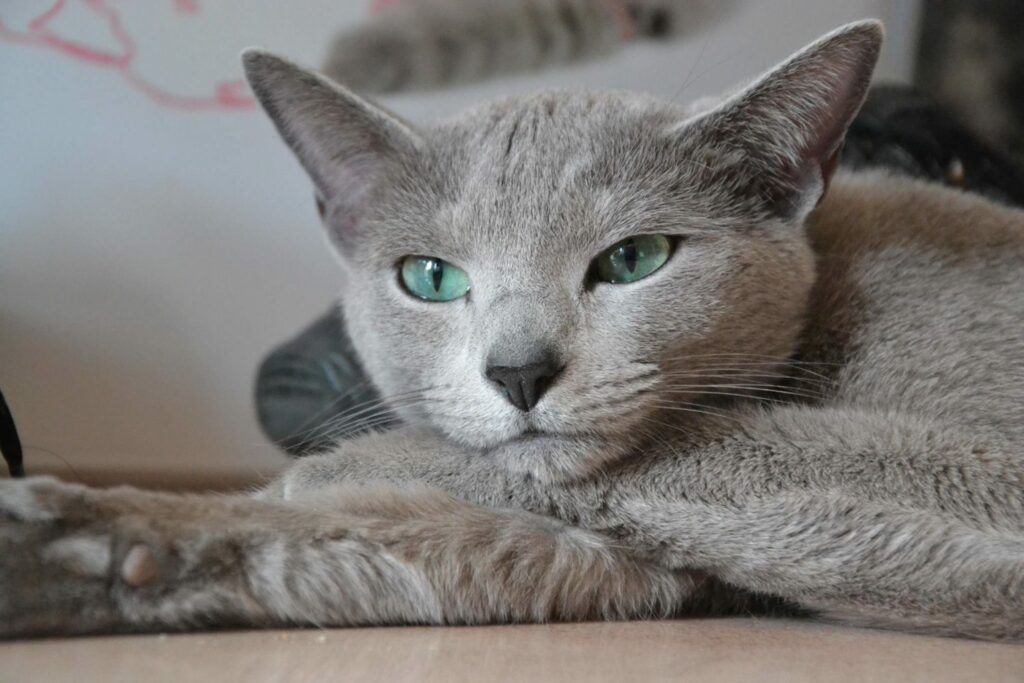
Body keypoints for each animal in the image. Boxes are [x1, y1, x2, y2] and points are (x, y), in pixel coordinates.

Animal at [2, 21, 1024, 643]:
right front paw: (71, 545)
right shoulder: (633, 559)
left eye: (635, 258)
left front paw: (330, 467)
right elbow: (420, 548)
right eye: (429, 278)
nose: (521, 370)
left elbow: (705, 445)